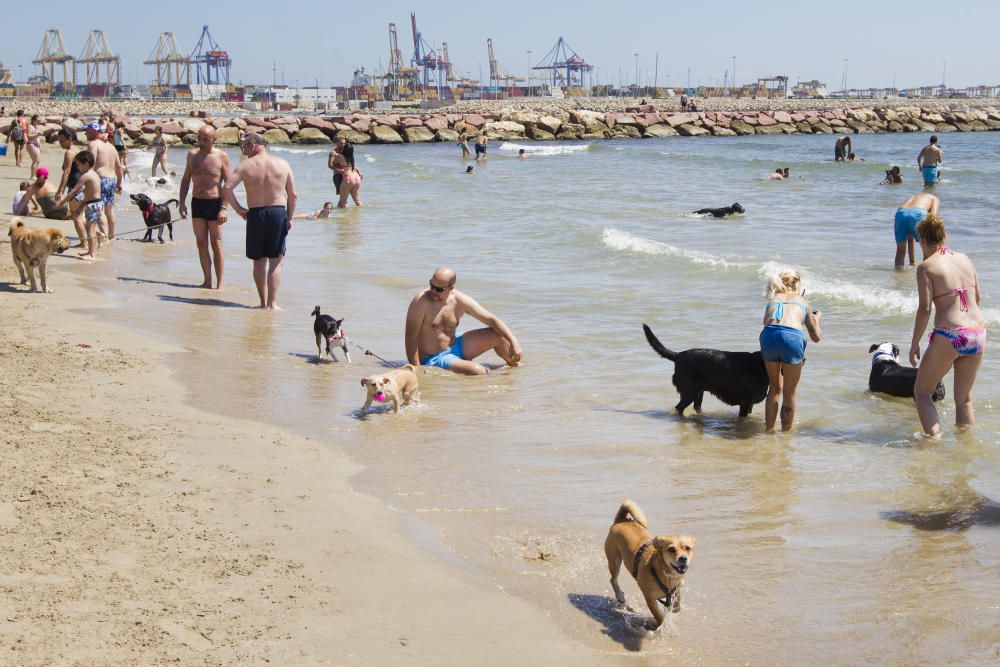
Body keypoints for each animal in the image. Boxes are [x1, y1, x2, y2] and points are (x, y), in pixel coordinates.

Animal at [600, 500, 696, 632]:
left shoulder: (676, 591)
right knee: (613, 579)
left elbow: (677, 606)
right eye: (671, 549)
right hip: (615, 561)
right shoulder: (650, 598)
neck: (666, 574)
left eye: (687, 548)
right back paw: (619, 595)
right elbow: (659, 617)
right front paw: (657, 625)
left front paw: (673, 610)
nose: (683, 558)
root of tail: (621, 520)